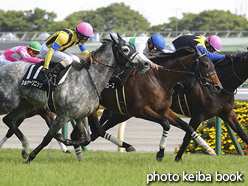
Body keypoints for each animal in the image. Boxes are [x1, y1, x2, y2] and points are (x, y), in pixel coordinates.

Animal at [0, 33, 150, 163]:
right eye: (125, 49)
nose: (146, 63)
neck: (87, 80)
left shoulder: (81, 115)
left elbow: (86, 139)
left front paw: (65, 141)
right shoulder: (63, 115)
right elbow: (47, 138)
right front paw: (31, 157)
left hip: (25, 105)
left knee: (9, 120)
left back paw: (25, 148)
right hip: (8, 102)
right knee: (8, 118)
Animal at [71, 46, 223, 161]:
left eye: (213, 64)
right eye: (205, 65)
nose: (217, 87)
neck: (159, 78)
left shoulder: (164, 110)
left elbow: (188, 127)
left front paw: (208, 149)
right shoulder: (141, 110)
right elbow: (166, 124)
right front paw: (160, 153)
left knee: (86, 132)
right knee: (96, 130)